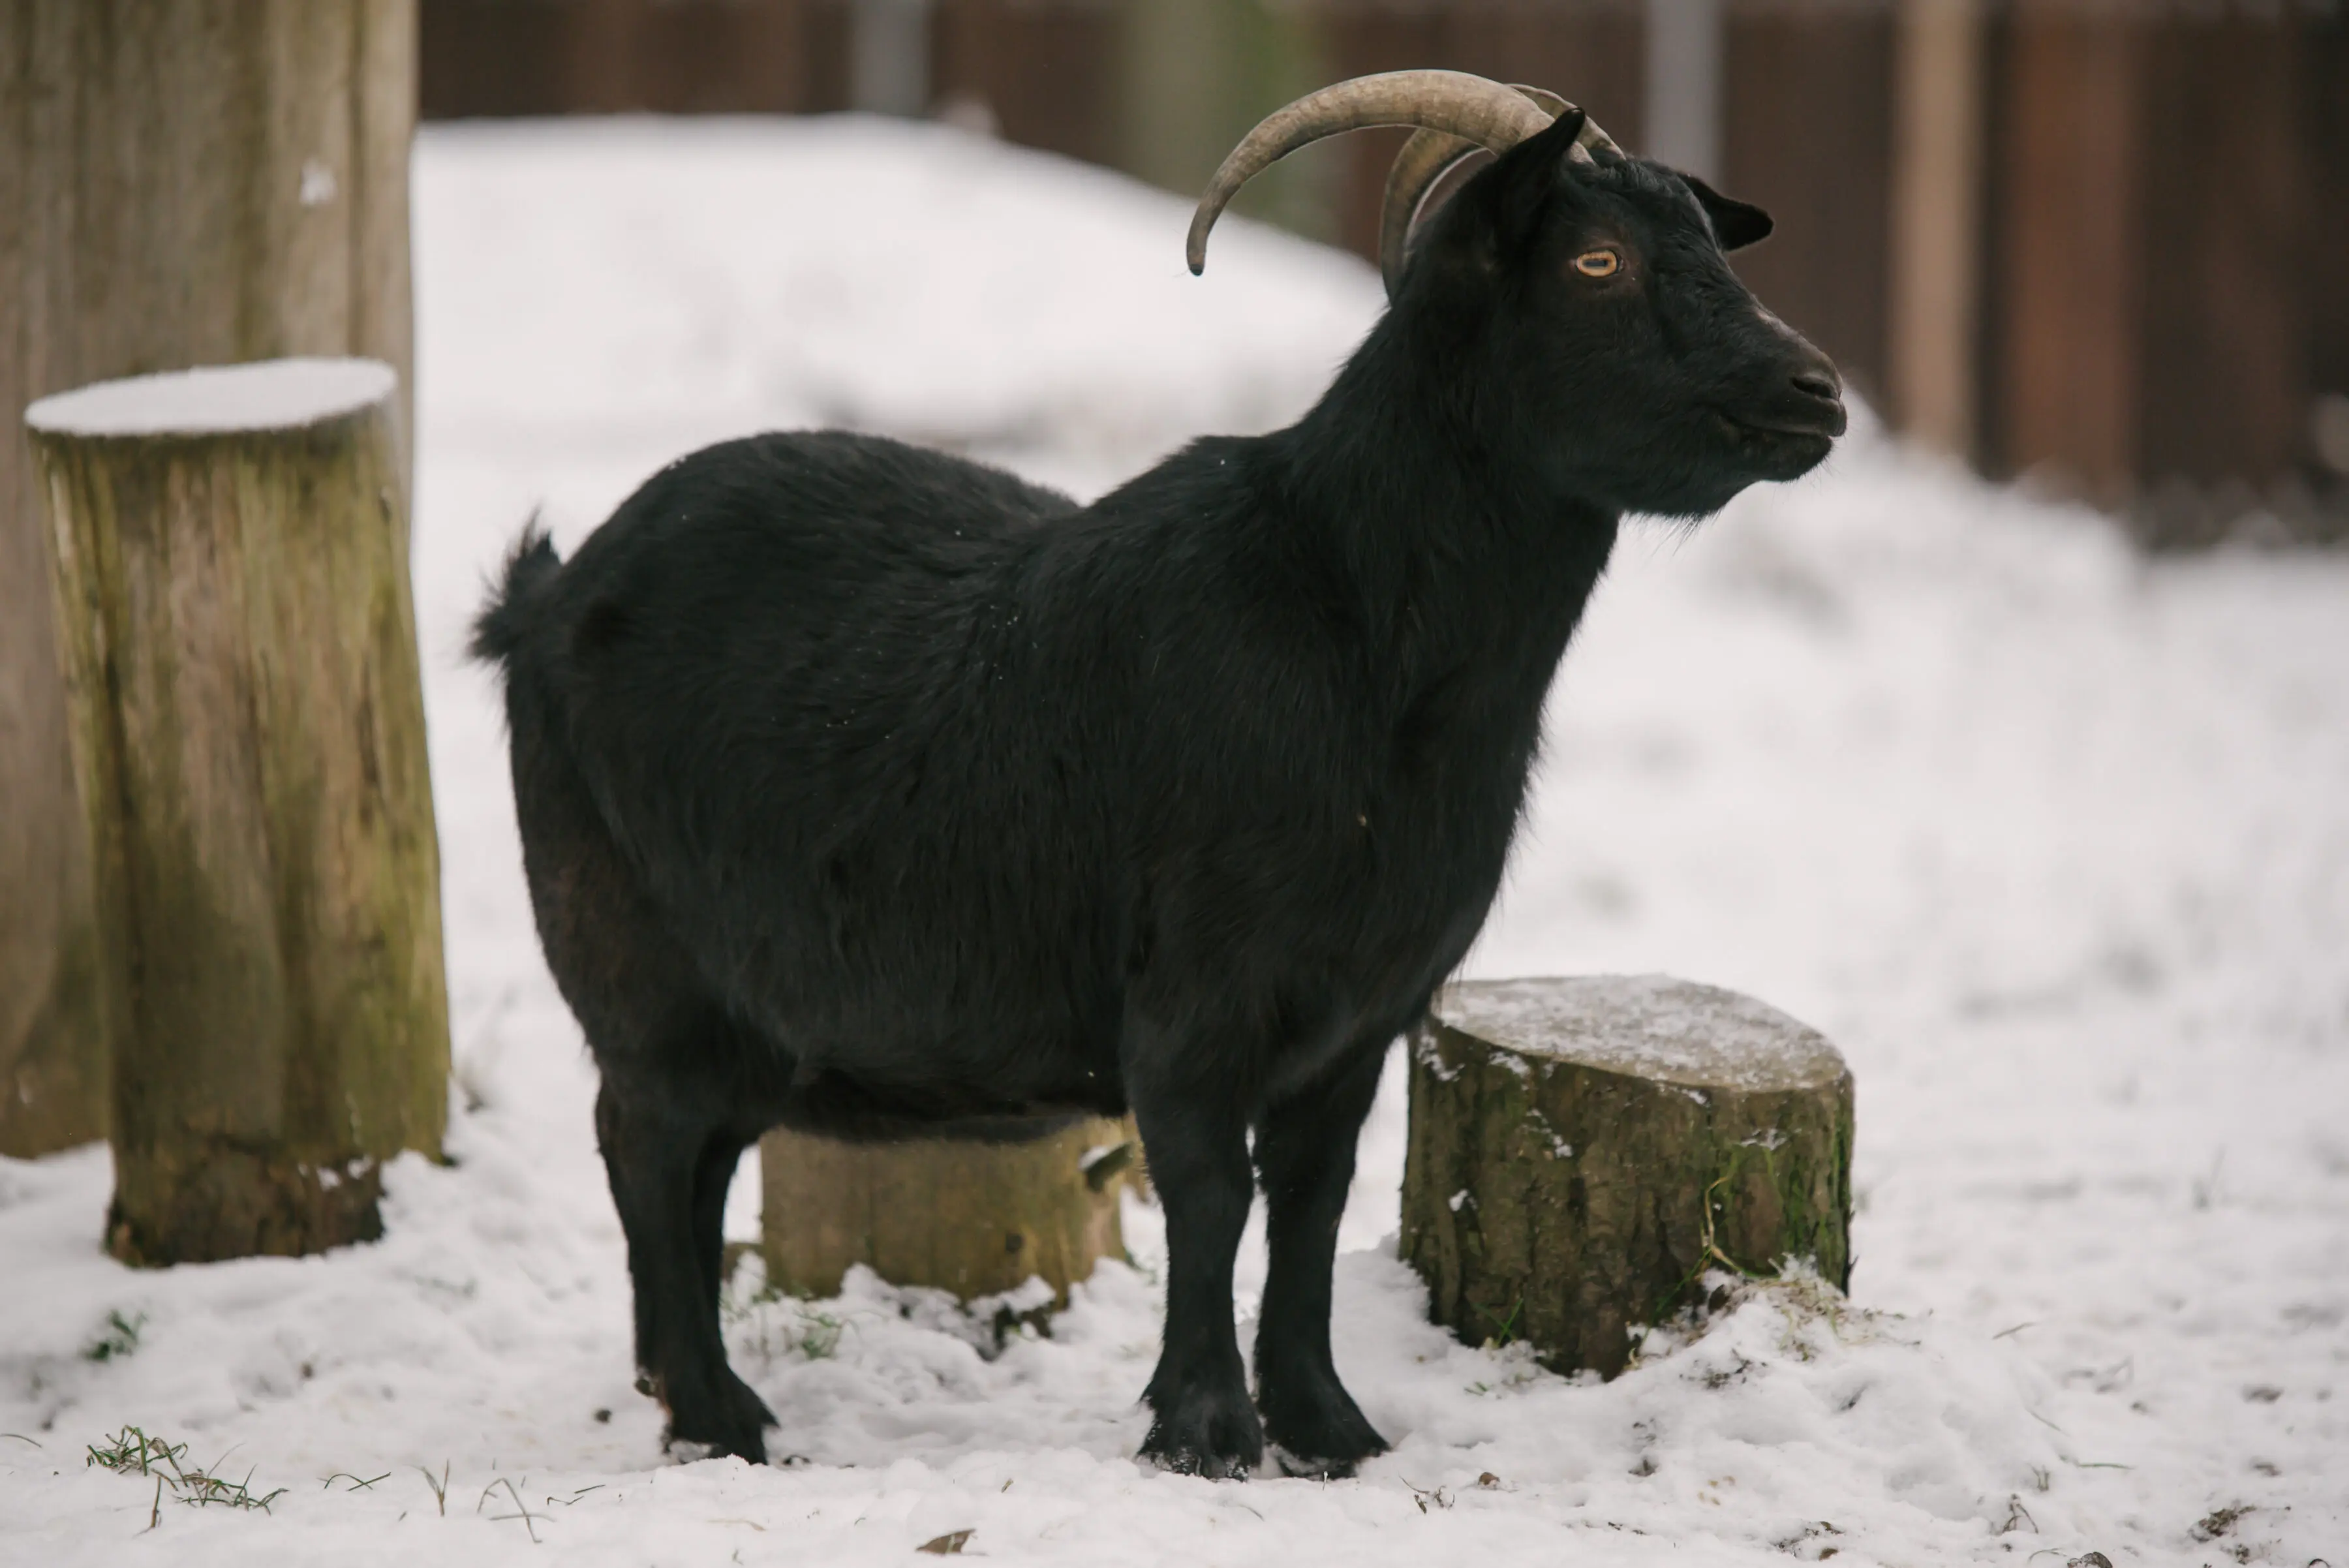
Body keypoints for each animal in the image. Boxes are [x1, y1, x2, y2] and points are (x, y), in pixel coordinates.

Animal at [473, 70, 1844, 1479]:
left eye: (1709, 245)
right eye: (1598, 260)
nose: (1817, 393)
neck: (1355, 627)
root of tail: (546, 593)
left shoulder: (1359, 1015)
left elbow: (1310, 1203)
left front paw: (1329, 1426)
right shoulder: (1195, 992)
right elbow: (1210, 1191)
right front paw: (1206, 1428)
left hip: (745, 1011)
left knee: (693, 1163)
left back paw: (688, 1397)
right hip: (635, 958)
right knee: (644, 1143)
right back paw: (719, 1411)